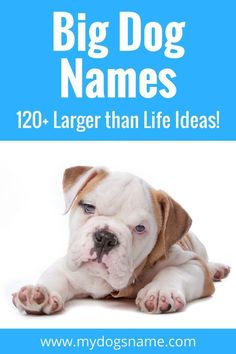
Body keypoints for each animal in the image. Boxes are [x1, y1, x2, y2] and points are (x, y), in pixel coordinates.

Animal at [12, 167, 230, 316]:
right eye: (88, 207)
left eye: (140, 228)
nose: (106, 237)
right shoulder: (67, 266)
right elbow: (54, 276)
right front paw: (41, 294)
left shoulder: (192, 263)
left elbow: (175, 271)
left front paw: (160, 291)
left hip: (198, 246)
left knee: (206, 261)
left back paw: (216, 268)